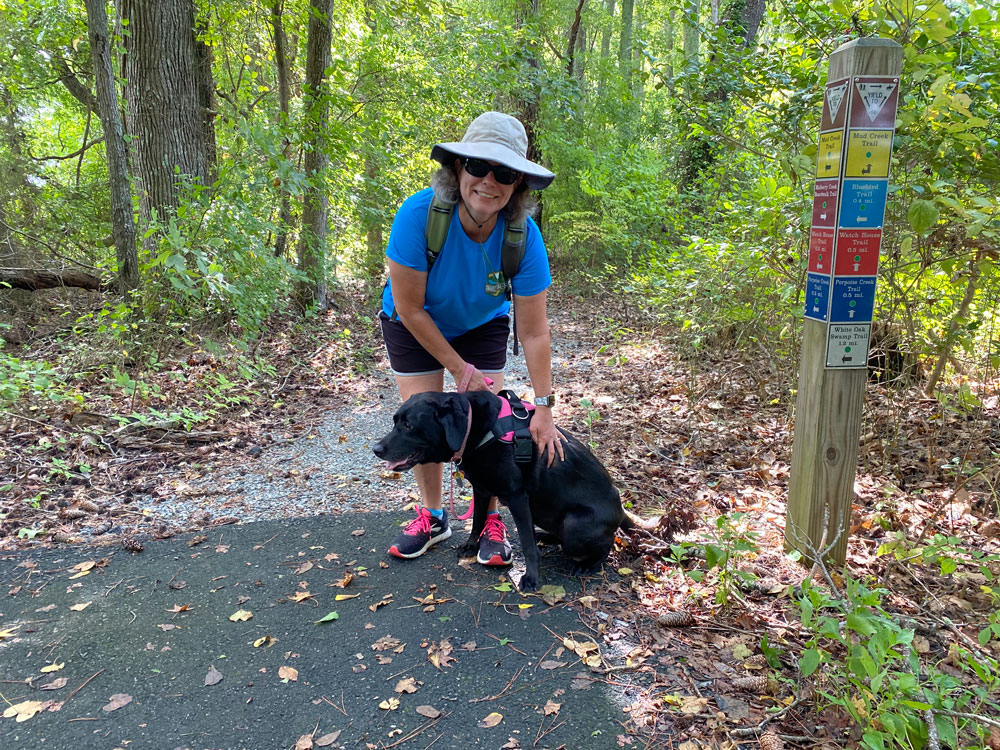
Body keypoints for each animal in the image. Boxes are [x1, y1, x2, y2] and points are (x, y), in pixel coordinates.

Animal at [372, 388, 628, 592]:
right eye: (395, 421)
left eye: (409, 425)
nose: (376, 449)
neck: (476, 430)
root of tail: (622, 510)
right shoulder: (482, 490)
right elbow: (477, 521)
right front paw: (471, 546)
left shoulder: (517, 498)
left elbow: (526, 544)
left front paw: (532, 578)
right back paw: (545, 537)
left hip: (574, 525)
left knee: (604, 547)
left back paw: (586, 564)